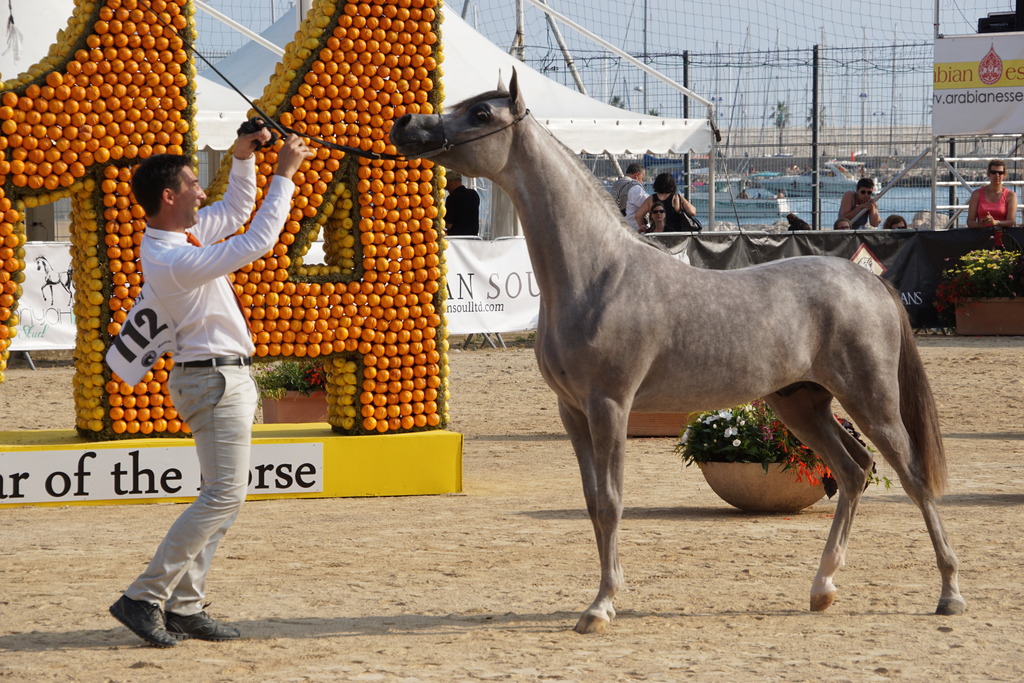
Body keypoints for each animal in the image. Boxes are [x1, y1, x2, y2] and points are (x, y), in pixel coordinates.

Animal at [390, 70, 965, 633]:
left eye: (481, 113)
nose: (406, 124)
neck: (599, 273)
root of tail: (870, 282)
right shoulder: (573, 411)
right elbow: (592, 502)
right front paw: (603, 598)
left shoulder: (609, 406)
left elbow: (612, 502)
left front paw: (600, 606)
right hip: (801, 404)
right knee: (853, 471)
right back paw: (822, 588)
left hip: (870, 400)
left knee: (912, 476)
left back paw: (949, 593)